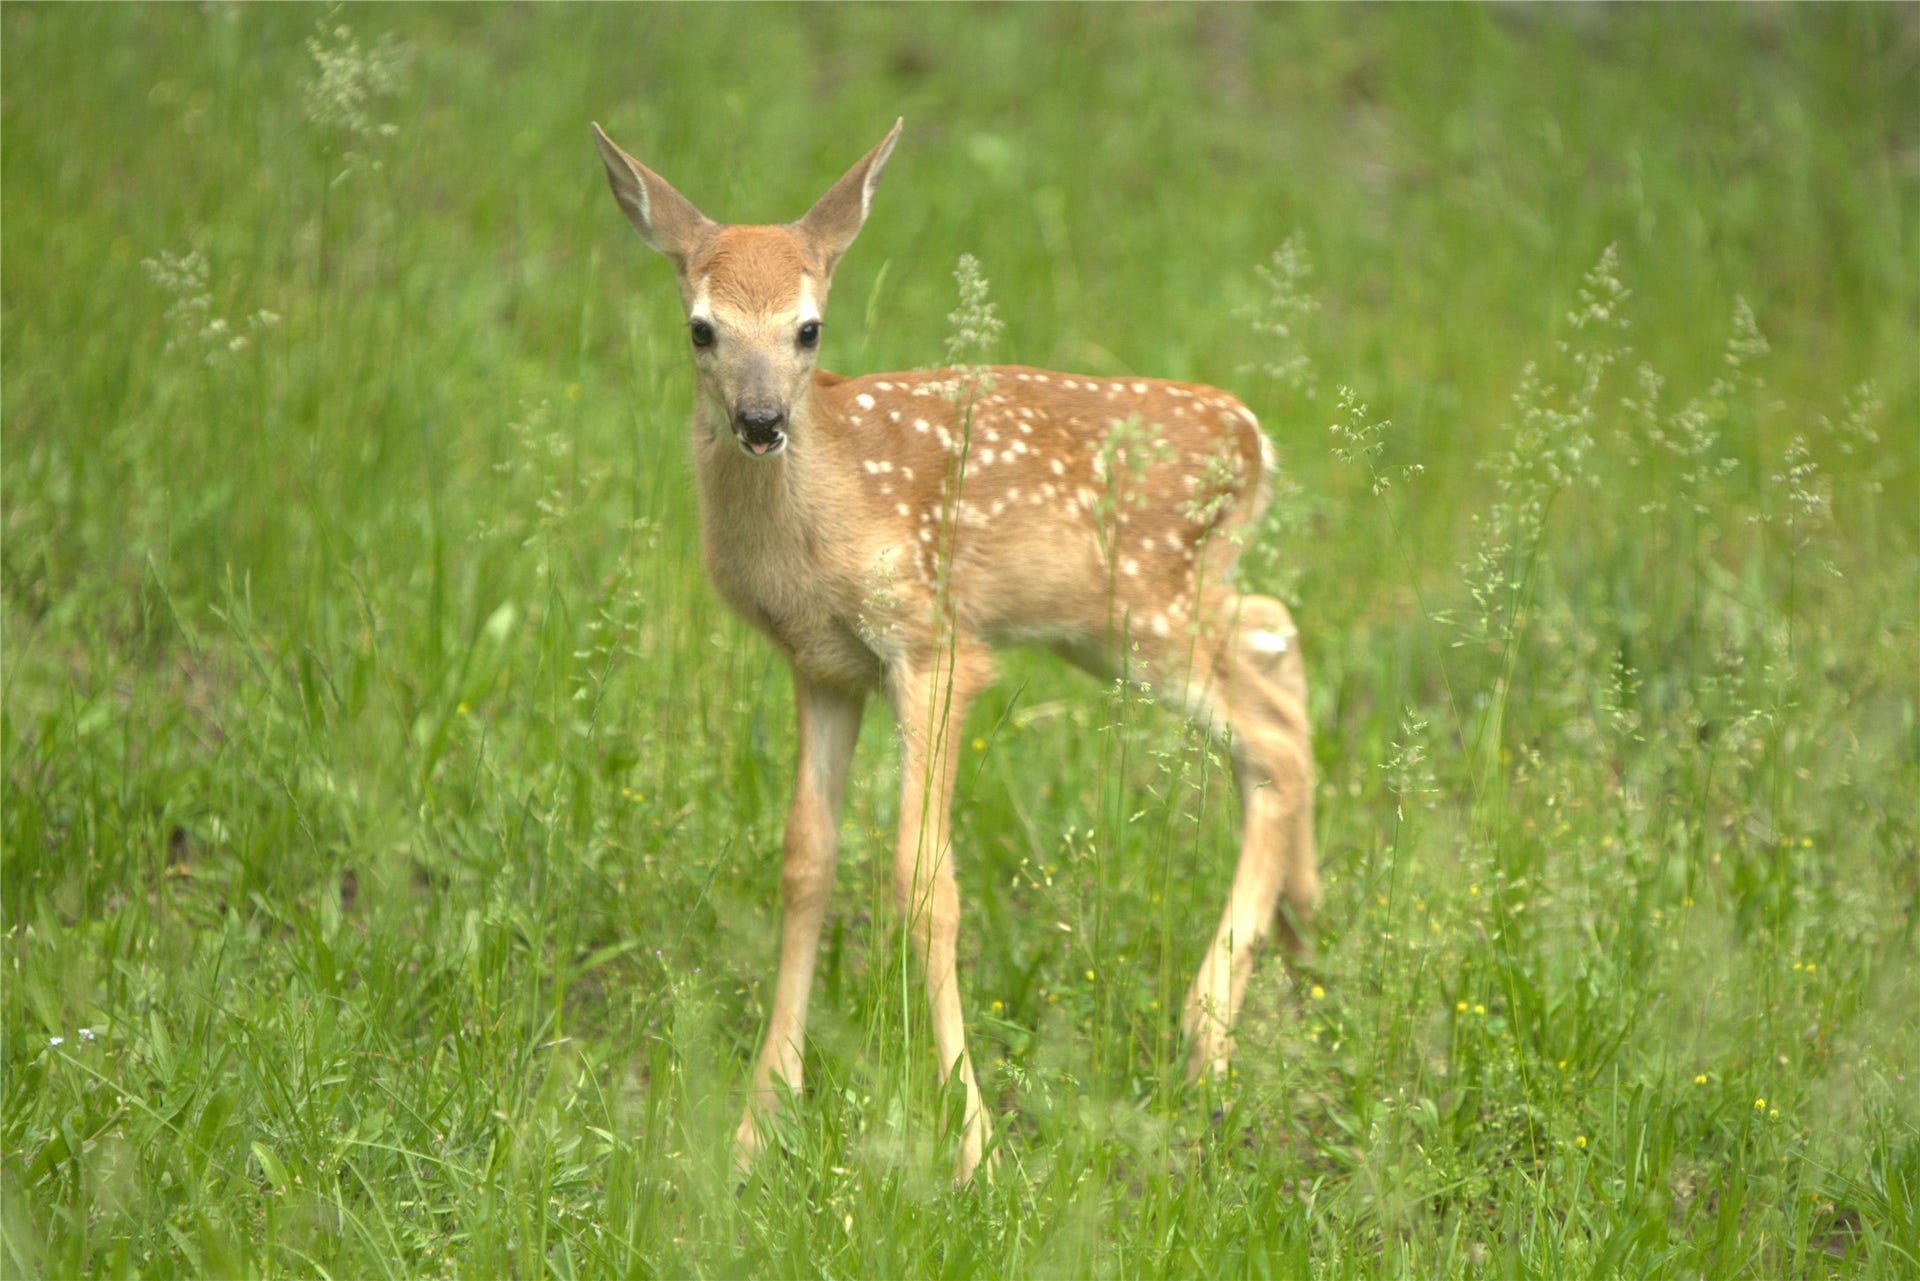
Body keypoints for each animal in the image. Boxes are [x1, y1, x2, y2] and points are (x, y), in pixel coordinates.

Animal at [591, 118, 1317, 1184]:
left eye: (808, 329)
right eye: (701, 328)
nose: (761, 422)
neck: (824, 513)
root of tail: (1255, 434)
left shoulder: (932, 643)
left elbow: (924, 879)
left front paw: (973, 1146)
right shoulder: (822, 665)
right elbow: (805, 862)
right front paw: (758, 1124)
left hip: (1143, 607)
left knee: (1273, 737)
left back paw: (1208, 1038)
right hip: (1122, 621)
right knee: (1277, 632)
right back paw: (1301, 925)